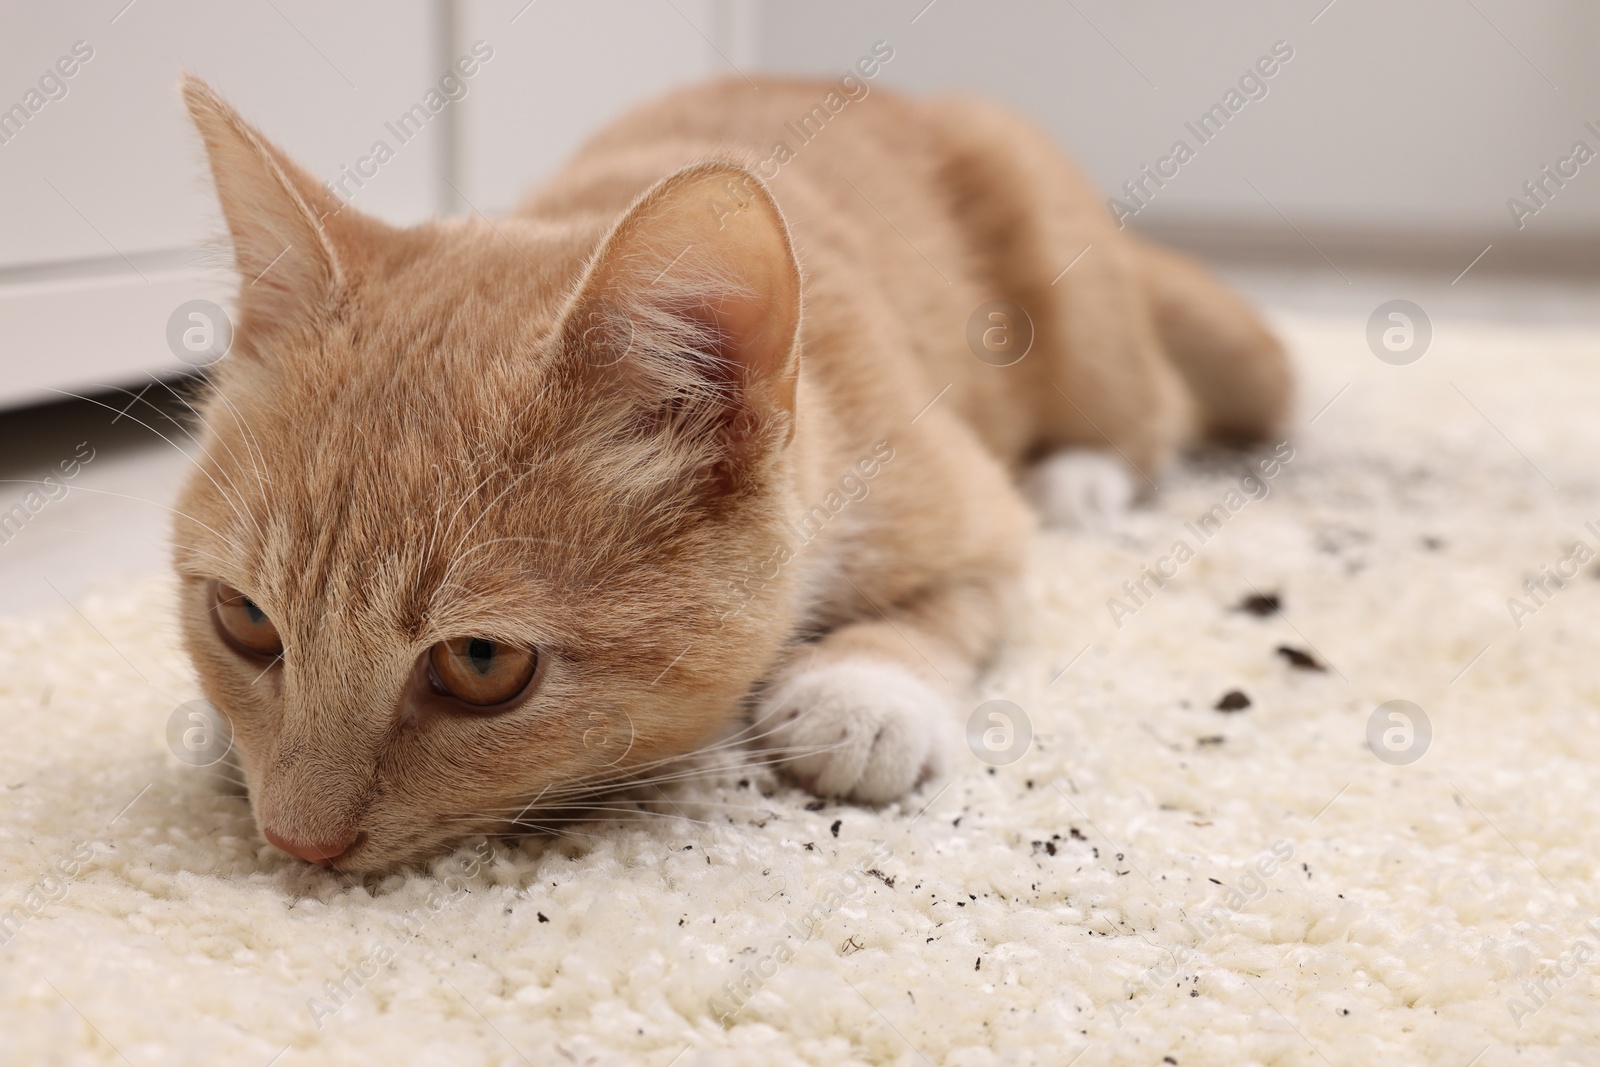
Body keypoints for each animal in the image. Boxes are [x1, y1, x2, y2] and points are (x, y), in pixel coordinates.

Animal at [178, 75, 1286, 876]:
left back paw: (1083, 478)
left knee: (1148, 410)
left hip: (1075, 295)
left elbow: (967, 590)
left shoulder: (961, 498)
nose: (296, 840)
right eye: (244, 618)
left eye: (481, 663)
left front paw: (867, 688)